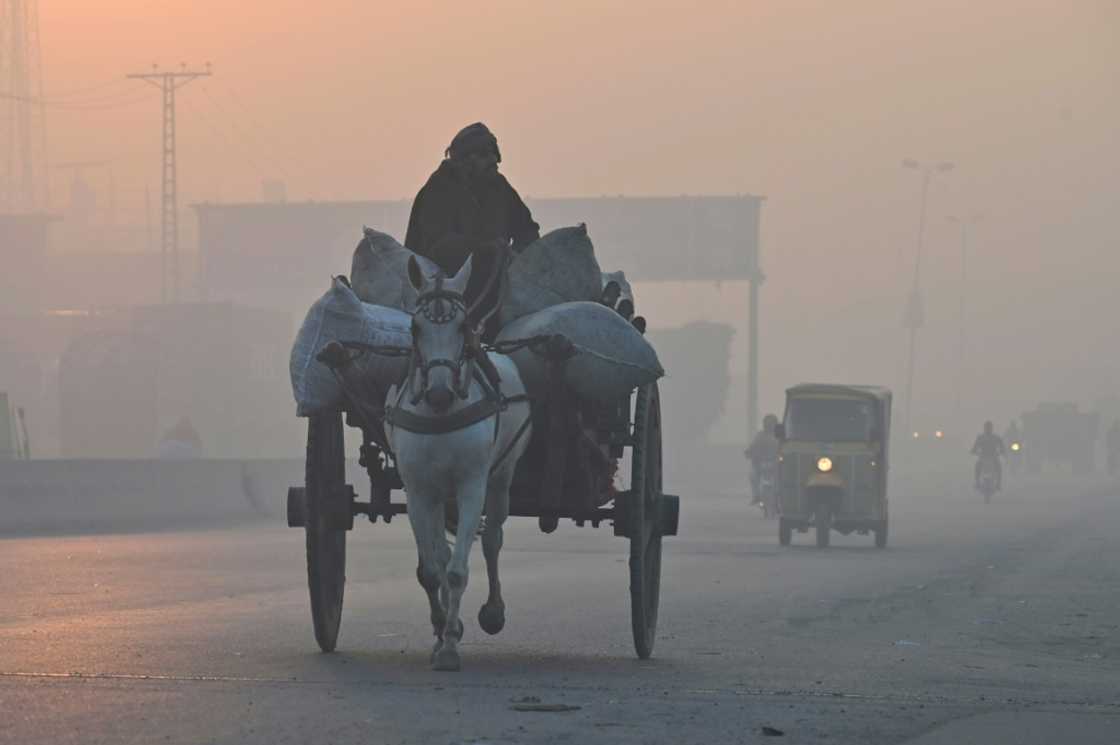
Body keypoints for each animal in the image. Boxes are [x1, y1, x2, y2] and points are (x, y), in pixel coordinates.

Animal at [385, 255, 533, 672]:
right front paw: (441, 632)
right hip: (437, 494)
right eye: (415, 328)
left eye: (462, 327)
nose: (438, 393)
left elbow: (455, 571)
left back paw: (493, 610)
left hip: (501, 478)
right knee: (440, 549)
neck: (439, 415)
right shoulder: (418, 491)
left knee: (494, 538)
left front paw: (450, 645)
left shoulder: (471, 485)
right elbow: (432, 570)